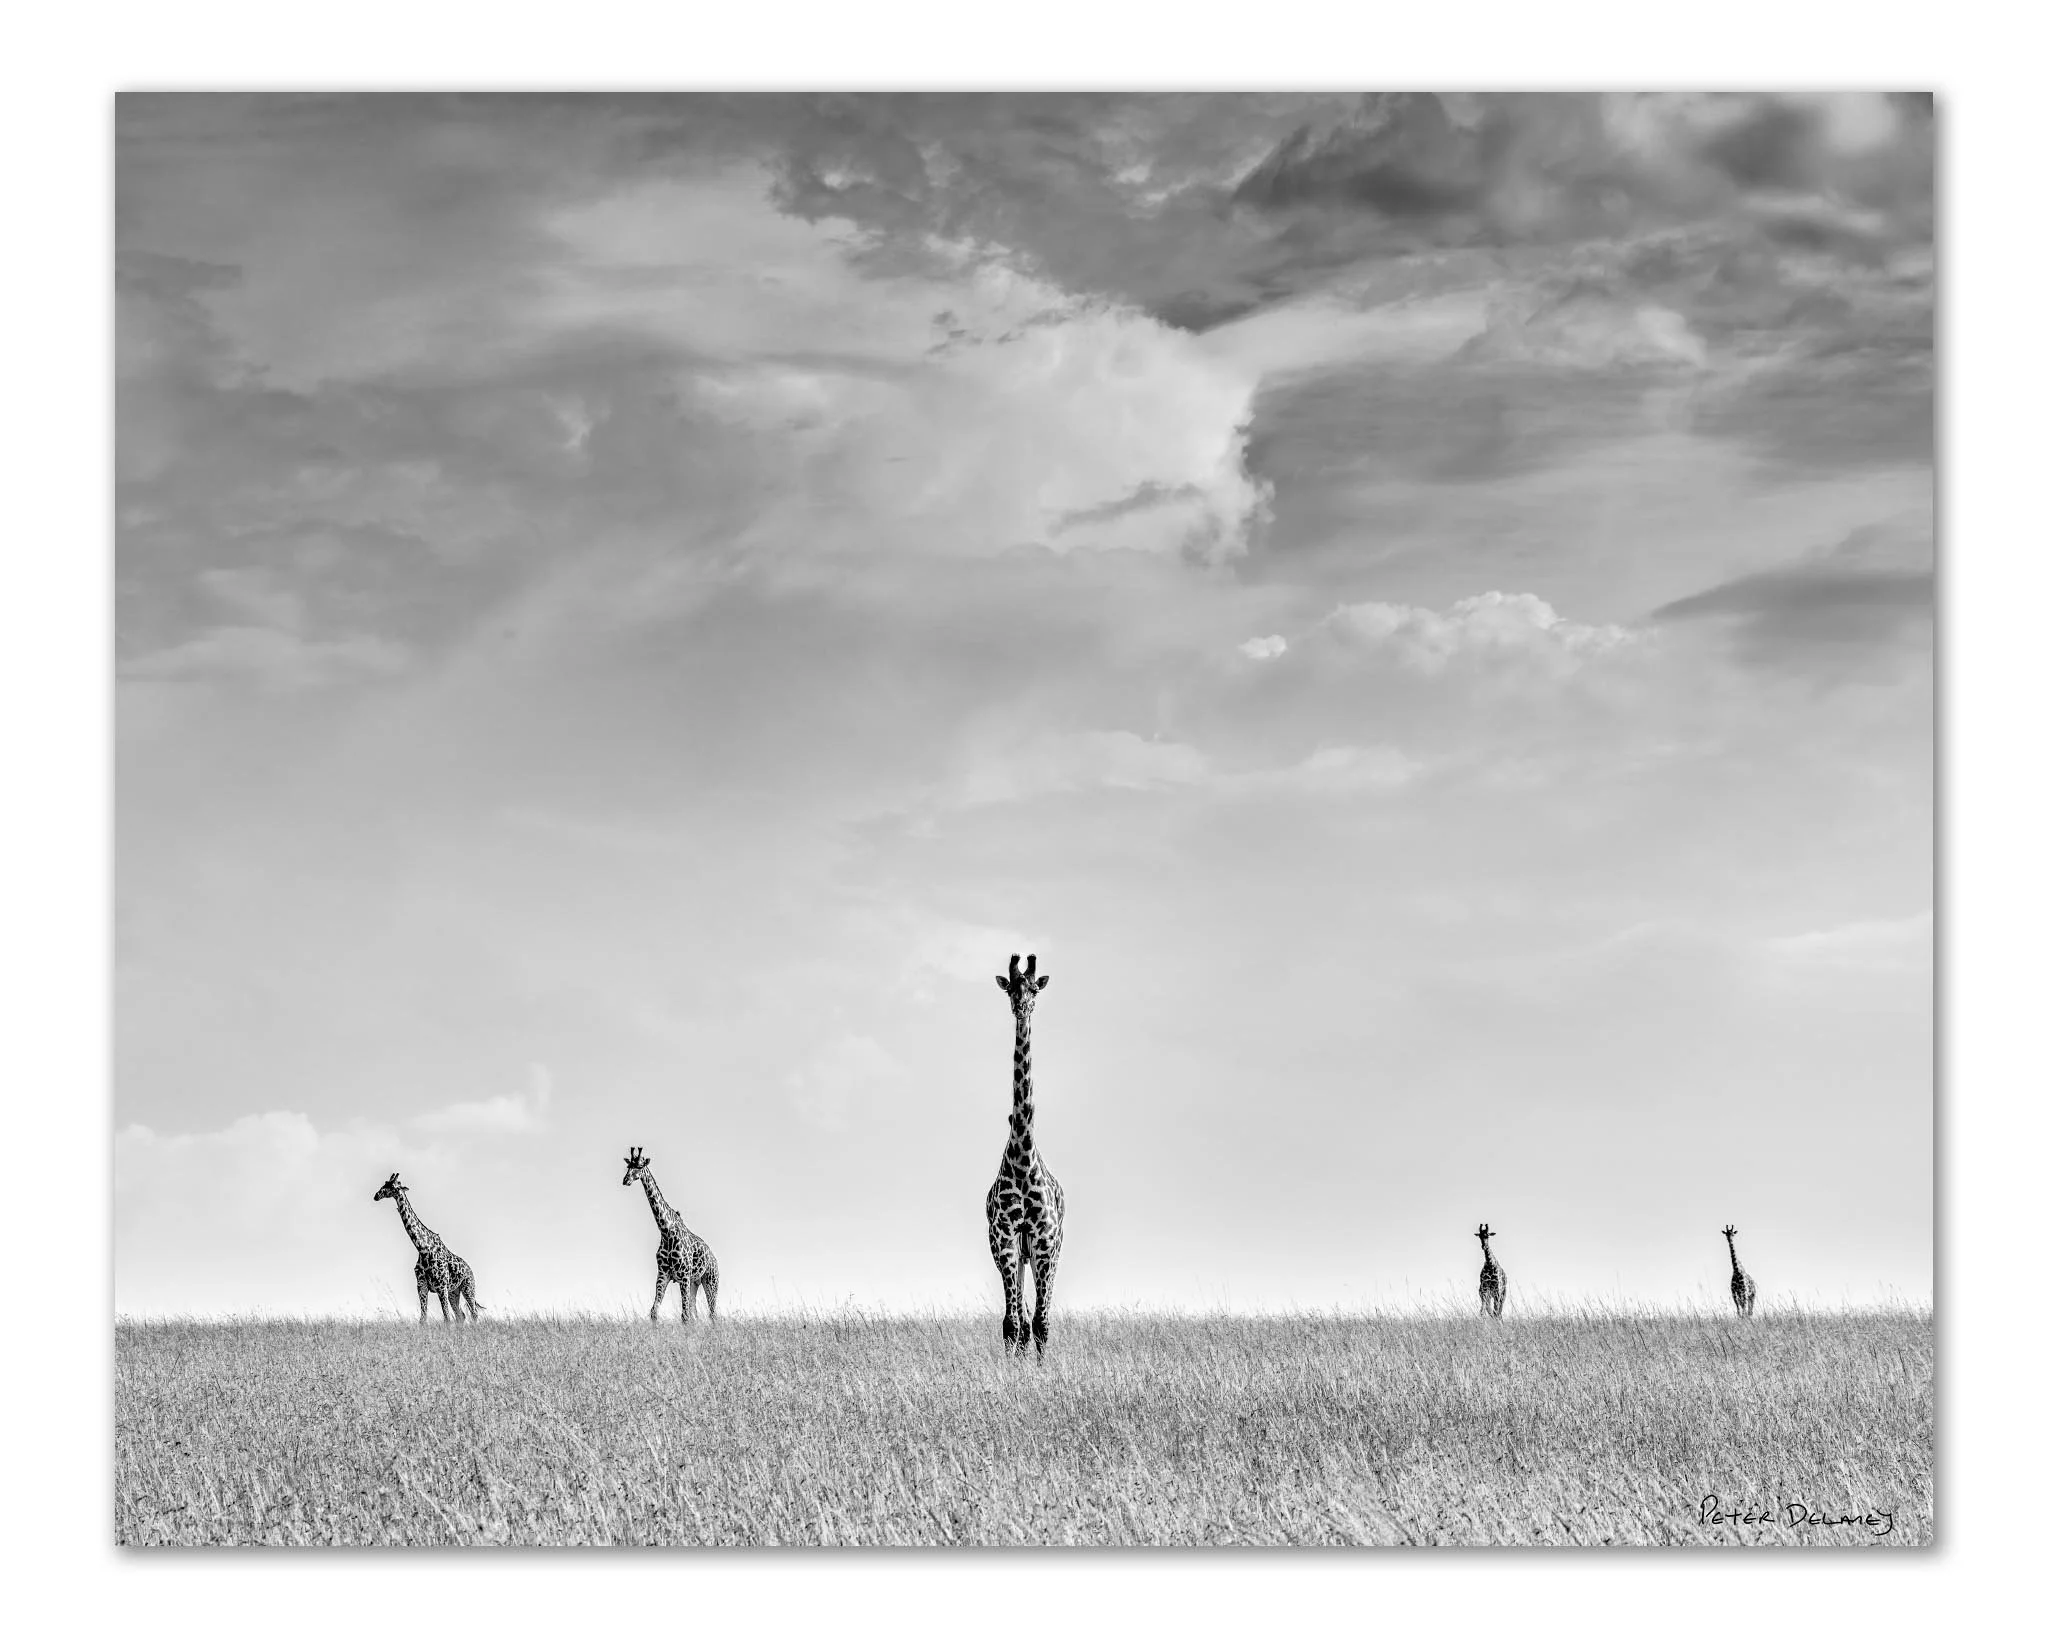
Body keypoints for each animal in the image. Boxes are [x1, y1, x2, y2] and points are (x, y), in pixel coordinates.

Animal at [371, 1173, 482, 1324]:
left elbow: (446, 1319)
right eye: (384, 1183)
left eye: (393, 1186)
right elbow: (423, 1319)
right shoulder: (421, 1285)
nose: (376, 1195)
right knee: (461, 1315)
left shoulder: (441, 1286)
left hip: (467, 1287)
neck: (423, 1249)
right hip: (454, 1291)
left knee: (473, 1313)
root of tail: (470, 1269)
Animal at [622, 1146, 720, 1324]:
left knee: (712, 1313)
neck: (666, 1231)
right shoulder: (663, 1273)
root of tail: (714, 1258)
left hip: (710, 1280)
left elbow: (684, 1315)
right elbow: (654, 1311)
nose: (626, 1180)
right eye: (628, 1166)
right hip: (695, 1282)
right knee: (695, 1311)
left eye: (640, 1166)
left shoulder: (684, 1275)